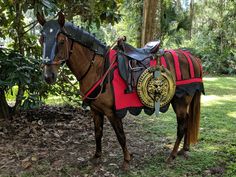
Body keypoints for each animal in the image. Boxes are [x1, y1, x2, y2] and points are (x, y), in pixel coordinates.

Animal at [37, 11, 205, 169]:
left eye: (61, 41)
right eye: (41, 40)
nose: (48, 76)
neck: (98, 69)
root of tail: (193, 57)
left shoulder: (112, 112)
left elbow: (120, 135)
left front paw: (126, 160)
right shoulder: (95, 110)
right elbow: (98, 133)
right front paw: (97, 156)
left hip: (180, 101)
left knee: (182, 126)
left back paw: (172, 155)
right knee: (188, 120)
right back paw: (184, 149)